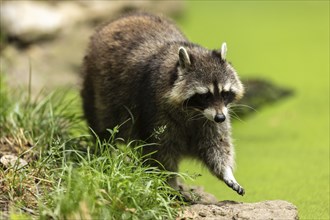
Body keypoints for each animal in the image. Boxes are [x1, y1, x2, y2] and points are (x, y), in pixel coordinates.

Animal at [80, 12, 245, 195]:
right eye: (205, 96)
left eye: (224, 93)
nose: (221, 118)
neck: (193, 112)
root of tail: (125, 16)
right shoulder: (155, 110)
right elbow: (161, 152)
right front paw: (169, 182)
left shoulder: (210, 120)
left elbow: (216, 145)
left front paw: (226, 172)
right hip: (96, 89)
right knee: (102, 125)